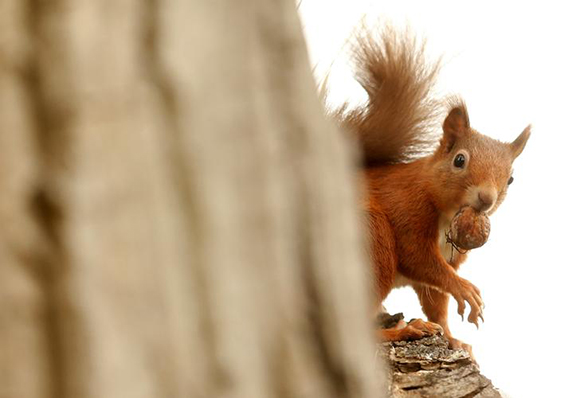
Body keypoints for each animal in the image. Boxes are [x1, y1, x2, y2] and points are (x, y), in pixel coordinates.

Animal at [336, 27, 532, 352]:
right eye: (459, 160)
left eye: (511, 179)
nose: (486, 198)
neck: (447, 212)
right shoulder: (406, 207)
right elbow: (421, 260)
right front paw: (464, 289)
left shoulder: (450, 255)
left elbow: (436, 300)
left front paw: (453, 338)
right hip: (372, 240)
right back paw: (400, 332)